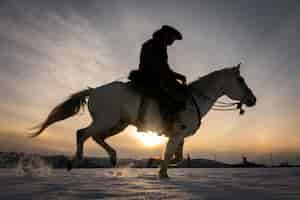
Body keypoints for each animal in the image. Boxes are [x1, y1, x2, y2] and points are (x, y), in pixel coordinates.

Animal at [29, 64, 255, 178]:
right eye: (241, 80)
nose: (253, 99)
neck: (195, 99)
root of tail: (93, 91)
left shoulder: (179, 136)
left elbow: (177, 158)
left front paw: (152, 162)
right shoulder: (176, 135)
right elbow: (169, 156)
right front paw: (160, 171)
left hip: (117, 124)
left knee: (96, 137)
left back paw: (112, 157)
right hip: (106, 121)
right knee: (82, 133)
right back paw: (75, 161)